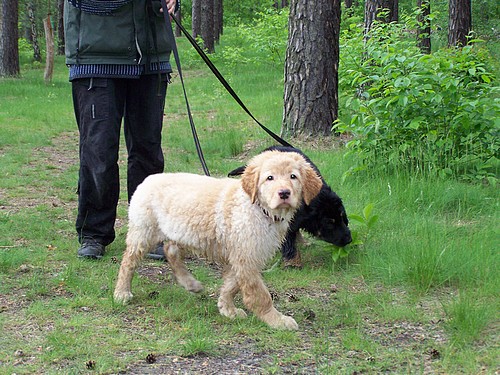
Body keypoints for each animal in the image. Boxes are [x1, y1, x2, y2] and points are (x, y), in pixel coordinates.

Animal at [114, 151, 320, 330]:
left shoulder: (244, 256)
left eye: (293, 177)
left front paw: (227, 309)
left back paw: (190, 283)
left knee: (171, 252)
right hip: (144, 231)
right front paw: (276, 320)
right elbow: (259, 294)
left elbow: (232, 284)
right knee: (128, 261)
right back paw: (121, 292)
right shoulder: (246, 255)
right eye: (270, 178)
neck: (258, 208)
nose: (284, 193)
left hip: (181, 231)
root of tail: (148, 179)